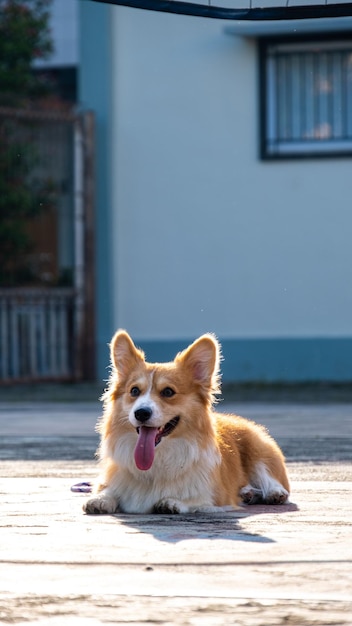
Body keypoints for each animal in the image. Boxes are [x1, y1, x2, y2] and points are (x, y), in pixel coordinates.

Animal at [84, 330, 290, 516]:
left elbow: (197, 500)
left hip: (258, 450)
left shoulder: (216, 496)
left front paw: (172, 502)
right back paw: (247, 492)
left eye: (168, 392)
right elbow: (108, 490)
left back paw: (274, 492)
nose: (141, 413)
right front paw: (100, 499)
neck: (159, 459)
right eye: (134, 391)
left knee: (267, 475)